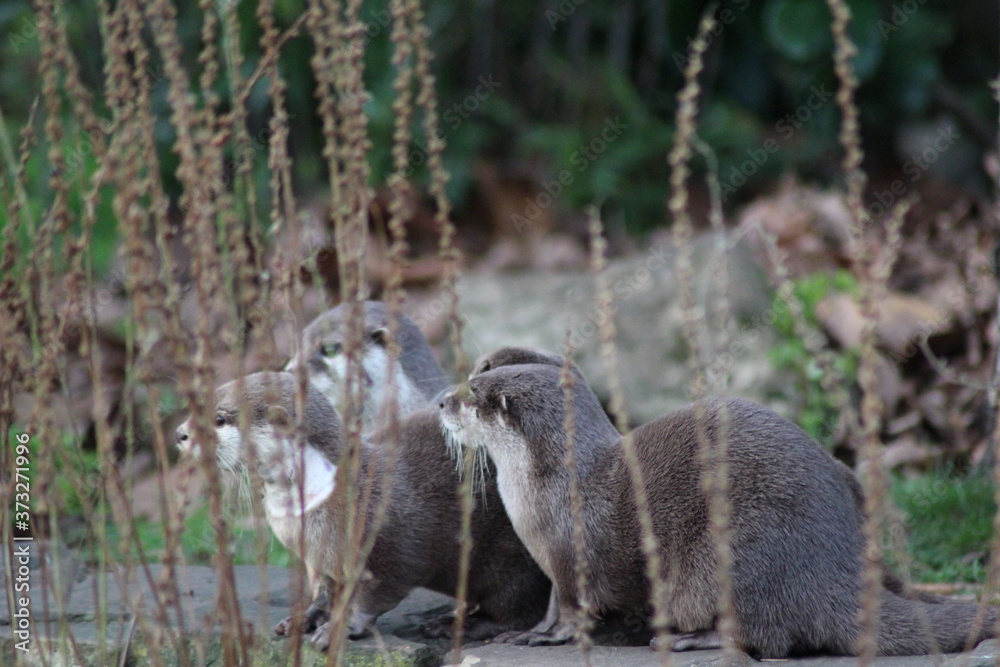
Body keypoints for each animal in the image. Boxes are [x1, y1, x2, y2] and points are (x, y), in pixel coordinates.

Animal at [175, 372, 549, 649]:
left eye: (220, 418)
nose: (179, 433)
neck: (324, 494)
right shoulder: (317, 557)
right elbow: (323, 591)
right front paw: (305, 617)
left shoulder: (388, 544)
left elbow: (378, 591)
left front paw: (339, 629)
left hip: (512, 557)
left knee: (516, 608)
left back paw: (458, 625)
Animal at [440, 363, 995, 657]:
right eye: (470, 377)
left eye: (473, 394)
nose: (443, 401)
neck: (555, 485)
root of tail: (833, 571)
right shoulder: (552, 563)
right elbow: (556, 602)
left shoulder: (571, 554)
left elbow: (573, 610)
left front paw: (539, 636)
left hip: (731, 558)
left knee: (765, 636)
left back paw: (689, 637)